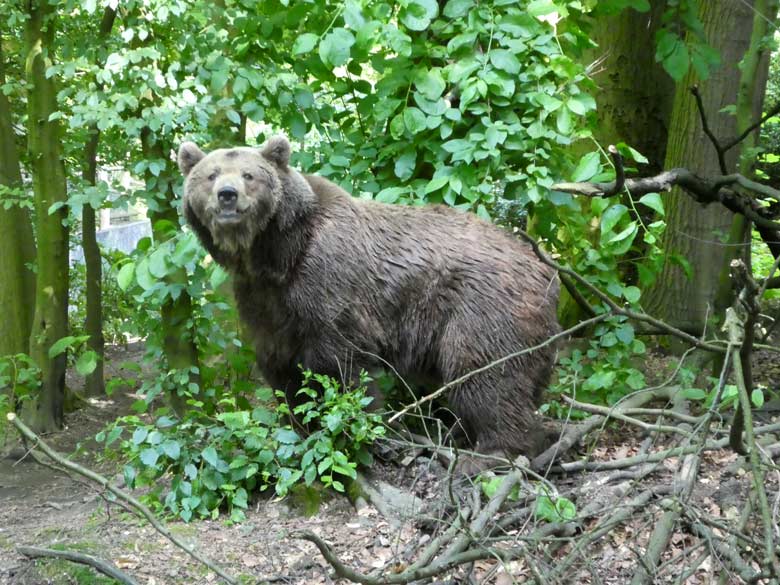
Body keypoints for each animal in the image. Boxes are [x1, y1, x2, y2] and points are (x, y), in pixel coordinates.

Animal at [180, 136, 560, 456]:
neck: (275, 254)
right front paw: (300, 423)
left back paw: (494, 450)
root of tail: (545, 270)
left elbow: (338, 361)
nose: (227, 194)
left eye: (249, 175)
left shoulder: (327, 281)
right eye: (211, 175)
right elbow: (280, 360)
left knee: (486, 374)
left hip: (482, 307)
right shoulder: (264, 299)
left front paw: (360, 428)